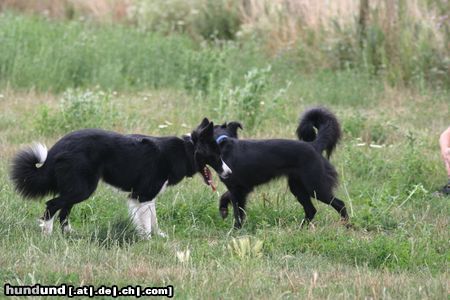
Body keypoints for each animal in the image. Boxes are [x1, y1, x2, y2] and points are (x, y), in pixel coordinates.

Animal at [10, 118, 232, 238]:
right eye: (217, 155)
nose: (229, 172)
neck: (187, 149)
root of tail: (57, 148)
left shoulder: (146, 196)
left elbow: (153, 219)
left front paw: (158, 236)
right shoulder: (143, 195)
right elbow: (147, 222)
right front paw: (147, 240)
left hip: (76, 188)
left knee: (64, 210)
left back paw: (69, 235)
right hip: (83, 188)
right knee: (52, 205)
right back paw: (47, 234)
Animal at [214, 107, 348, 227]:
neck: (223, 144)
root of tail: (314, 145)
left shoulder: (238, 189)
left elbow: (238, 212)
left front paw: (236, 230)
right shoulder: (241, 188)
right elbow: (225, 196)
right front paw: (223, 209)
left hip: (315, 186)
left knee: (340, 204)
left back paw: (346, 225)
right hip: (298, 187)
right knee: (311, 210)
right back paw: (300, 229)